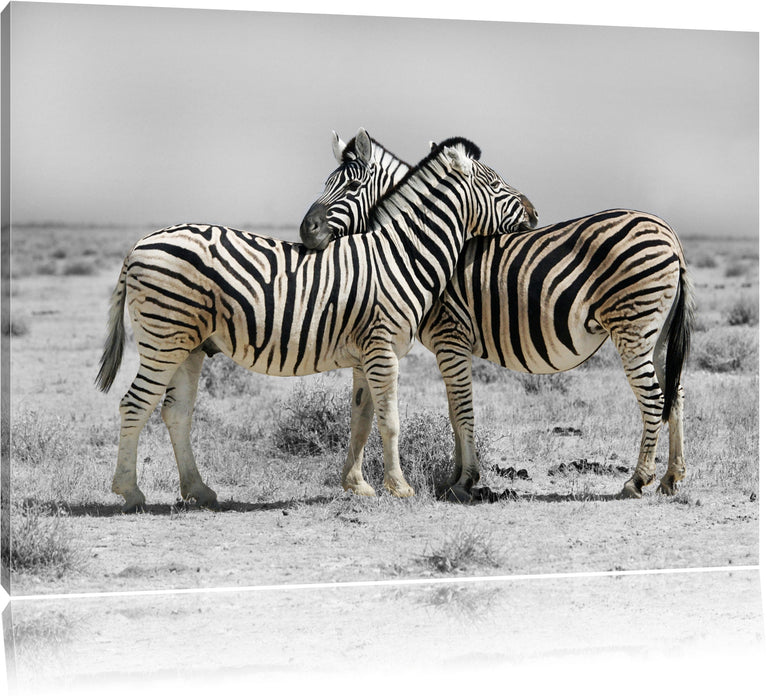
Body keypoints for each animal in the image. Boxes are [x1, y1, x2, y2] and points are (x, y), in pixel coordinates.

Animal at [96, 135, 535, 512]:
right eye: (496, 183)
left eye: (352, 184)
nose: (534, 212)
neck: (401, 255)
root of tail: (138, 245)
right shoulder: (383, 350)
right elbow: (390, 421)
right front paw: (400, 487)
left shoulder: (365, 355)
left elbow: (361, 420)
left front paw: (358, 485)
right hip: (163, 338)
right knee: (134, 404)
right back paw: (130, 492)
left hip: (188, 346)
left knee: (176, 412)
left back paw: (198, 490)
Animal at [300, 134, 694, 503]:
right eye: (325, 182)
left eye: (351, 186)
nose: (306, 231)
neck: (413, 247)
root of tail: (670, 235)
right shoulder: (449, 346)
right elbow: (453, 411)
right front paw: (455, 477)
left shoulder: (450, 336)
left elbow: (461, 410)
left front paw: (465, 481)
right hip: (656, 334)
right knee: (674, 394)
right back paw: (671, 477)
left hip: (633, 327)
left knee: (654, 400)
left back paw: (637, 480)